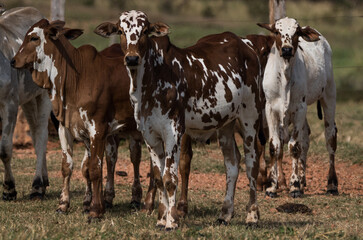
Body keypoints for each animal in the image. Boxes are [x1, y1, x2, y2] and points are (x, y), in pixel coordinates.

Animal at [0, 6, 52, 200]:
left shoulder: (10, 104)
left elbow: (5, 149)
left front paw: (9, 188)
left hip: (44, 96)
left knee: (42, 135)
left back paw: (37, 185)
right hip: (28, 100)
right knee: (35, 133)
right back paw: (43, 180)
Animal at [9, 18, 154, 218]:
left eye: (33, 38)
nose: (13, 61)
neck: (75, 78)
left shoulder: (98, 130)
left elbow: (94, 168)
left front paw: (94, 209)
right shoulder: (66, 128)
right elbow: (69, 166)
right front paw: (64, 204)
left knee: (143, 159)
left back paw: (142, 201)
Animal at [95, 10, 266, 229]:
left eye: (144, 31)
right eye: (121, 31)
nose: (132, 58)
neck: (152, 80)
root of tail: (246, 44)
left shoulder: (173, 132)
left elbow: (170, 178)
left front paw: (172, 221)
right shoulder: (149, 135)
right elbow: (158, 177)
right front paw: (161, 218)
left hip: (250, 119)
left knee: (252, 164)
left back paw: (252, 215)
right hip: (225, 125)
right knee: (232, 164)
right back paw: (225, 213)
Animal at [258, 17, 338, 198]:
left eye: (296, 33)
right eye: (277, 31)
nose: (287, 49)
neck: (285, 77)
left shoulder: (299, 109)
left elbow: (294, 147)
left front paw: (294, 186)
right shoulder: (270, 109)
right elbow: (274, 146)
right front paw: (272, 187)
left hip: (329, 95)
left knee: (330, 136)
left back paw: (331, 184)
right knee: (306, 137)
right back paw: (302, 181)